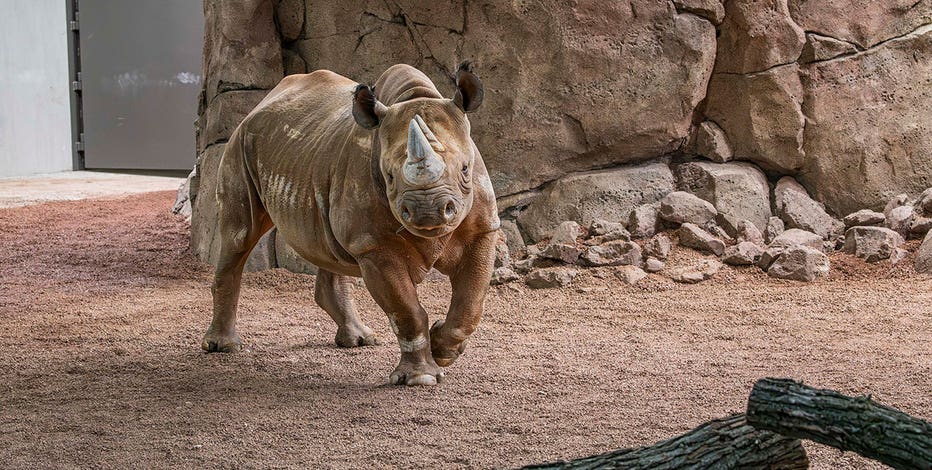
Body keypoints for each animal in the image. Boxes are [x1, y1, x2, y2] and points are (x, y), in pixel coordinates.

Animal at [201, 62, 499, 386]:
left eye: (465, 169)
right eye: (390, 177)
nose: (427, 212)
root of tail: (264, 100)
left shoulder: (482, 229)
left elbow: (470, 304)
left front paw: (443, 348)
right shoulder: (375, 247)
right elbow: (406, 310)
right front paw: (420, 378)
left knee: (330, 250)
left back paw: (360, 340)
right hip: (241, 142)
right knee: (239, 236)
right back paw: (223, 347)